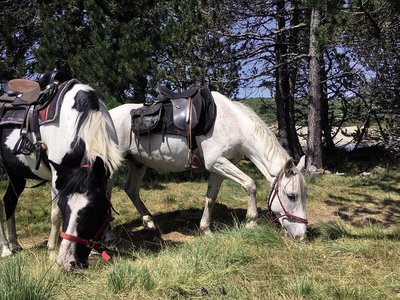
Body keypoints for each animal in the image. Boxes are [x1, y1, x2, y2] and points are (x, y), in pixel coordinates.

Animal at [0, 74, 122, 270]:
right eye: (64, 205)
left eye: (93, 209)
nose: (68, 262)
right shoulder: (58, 176)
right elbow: (55, 215)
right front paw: (51, 252)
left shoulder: (107, 177)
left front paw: (95, 250)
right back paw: (5, 250)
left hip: (15, 174)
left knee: (10, 200)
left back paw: (15, 245)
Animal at [109, 88, 306, 240]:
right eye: (291, 196)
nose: (301, 236)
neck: (235, 124)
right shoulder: (216, 162)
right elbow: (250, 184)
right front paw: (251, 222)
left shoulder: (220, 167)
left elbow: (211, 197)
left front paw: (205, 229)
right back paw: (109, 235)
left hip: (138, 164)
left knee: (131, 190)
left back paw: (149, 223)